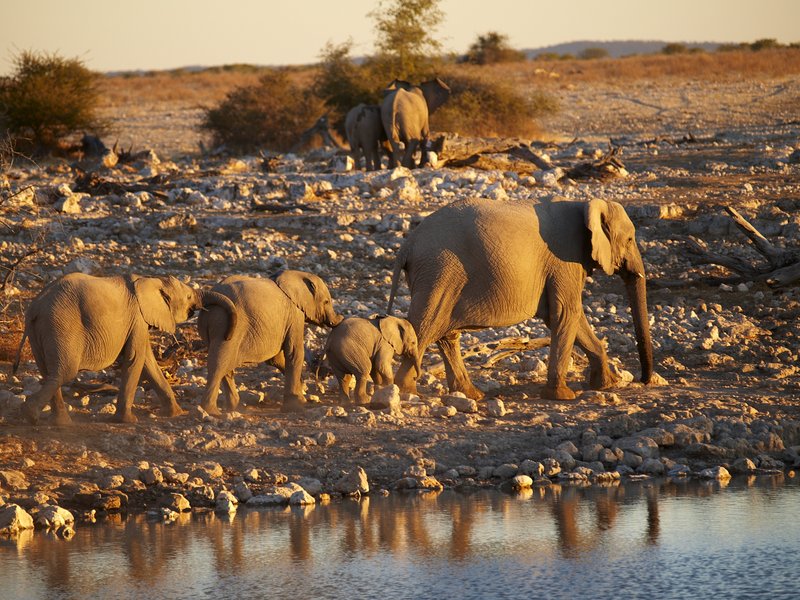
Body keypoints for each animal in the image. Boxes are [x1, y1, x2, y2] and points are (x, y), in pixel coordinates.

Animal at [13, 273, 237, 425]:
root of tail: (34, 308)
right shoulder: (137, 317)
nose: (228, 335)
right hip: (60, 327)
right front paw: (128, 421)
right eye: (189, 297)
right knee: (64, 372)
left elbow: (148, 362)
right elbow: (135, 359)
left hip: (42, 331)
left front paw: (176, 414)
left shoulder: (139, 321)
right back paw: (30, 415)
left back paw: (59, 422)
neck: (150, 279)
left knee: (49, 372)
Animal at [197, 270, 343, 415]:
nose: (340, 319)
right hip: (229, 327)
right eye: (326, 302)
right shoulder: (295, 314)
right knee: (219, 363)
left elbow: (275, 359)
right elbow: (294, 353)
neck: (296, 275)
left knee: (224, 365)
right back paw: (212, 411)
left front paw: (303, 388)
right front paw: (296, 406)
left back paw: (235, 408)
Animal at [387, 197, 654, 401]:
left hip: (439, 276)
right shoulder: (565, 260)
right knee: (425, 327)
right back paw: (407, 391)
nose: (643, 380)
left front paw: (608, 384)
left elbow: (569, 318)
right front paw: (563, 396)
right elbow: (566, 314)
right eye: (630, 240)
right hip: (439, 271)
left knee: (446, 334)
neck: (585, 204)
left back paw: (472, 395)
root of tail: (408, 244)